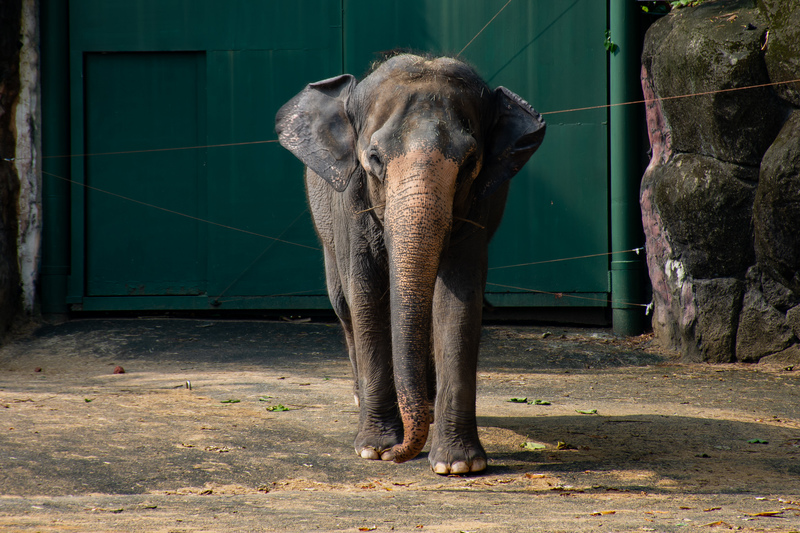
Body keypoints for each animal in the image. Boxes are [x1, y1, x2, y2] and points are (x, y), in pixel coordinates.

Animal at [276, 52, 544, 472]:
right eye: (373, 158)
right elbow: (366, 295)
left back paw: (428, 410)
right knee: (343, 304)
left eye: (471, 163)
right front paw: (374, 448)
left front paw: (458, 465)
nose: (398, 456)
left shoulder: (478, 209)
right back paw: (363, 400)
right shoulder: (349, 200)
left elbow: (458, 302)